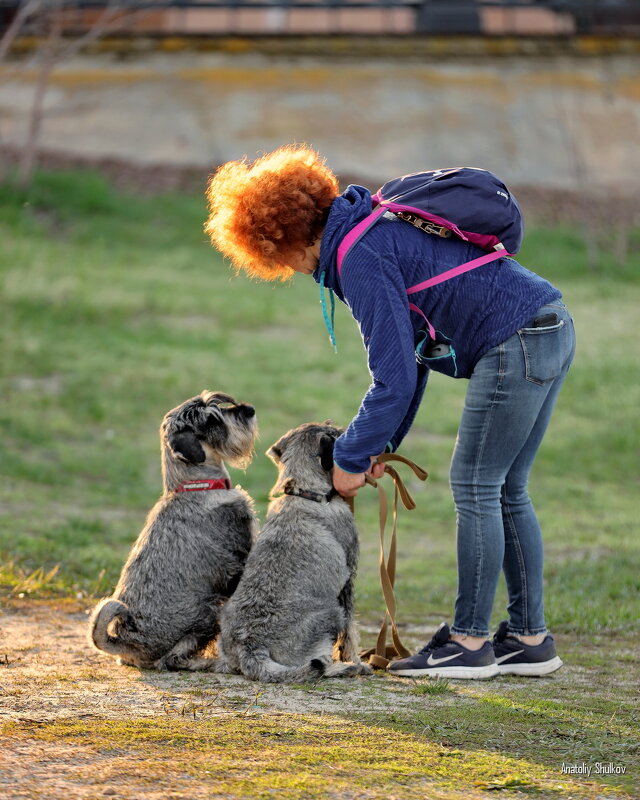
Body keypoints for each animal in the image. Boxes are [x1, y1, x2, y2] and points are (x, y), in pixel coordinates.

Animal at [88, 390, 258, 672]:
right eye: (212, 420)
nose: (250, 410)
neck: (197, 487)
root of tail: (123, 643)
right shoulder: (236, 561)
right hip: (207, 609)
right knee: (171, 659)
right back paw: (203, 662)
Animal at [214, 422, 372, 684]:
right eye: (335, 433)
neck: (306, 490)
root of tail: (250, 645)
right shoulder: (348, 581)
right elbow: (350, 633)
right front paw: (355, 660)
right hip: (332, 613)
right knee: (319, 664)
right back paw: (347, 668)